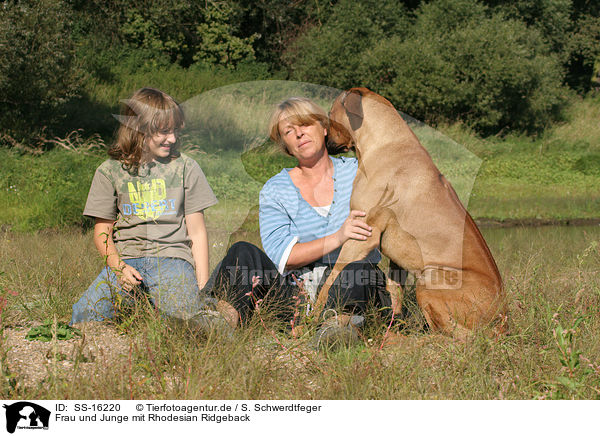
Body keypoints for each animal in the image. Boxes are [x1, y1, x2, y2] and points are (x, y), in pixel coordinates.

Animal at [314, 87, 506, 338]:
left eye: (330, 113)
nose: (324, 142)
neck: (384, 143)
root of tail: (502, 320)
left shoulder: (363, 233)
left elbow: (331, 279)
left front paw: (311, 316)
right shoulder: (396, 259)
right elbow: (395, 293)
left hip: (430, 279)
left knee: (452, 336)